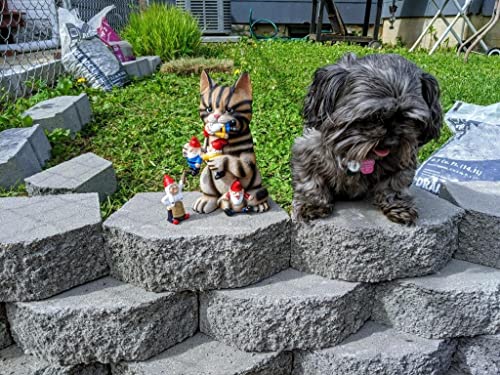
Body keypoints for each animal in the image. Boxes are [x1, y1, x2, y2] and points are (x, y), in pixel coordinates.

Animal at [292, 54, 442, 225]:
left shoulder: (404, 159)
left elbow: (394, 184)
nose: (392, 141)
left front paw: (398, 206)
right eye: (373, 117)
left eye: (407, 118)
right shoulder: (307, 150)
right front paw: (312, 205)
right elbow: (310, 181)